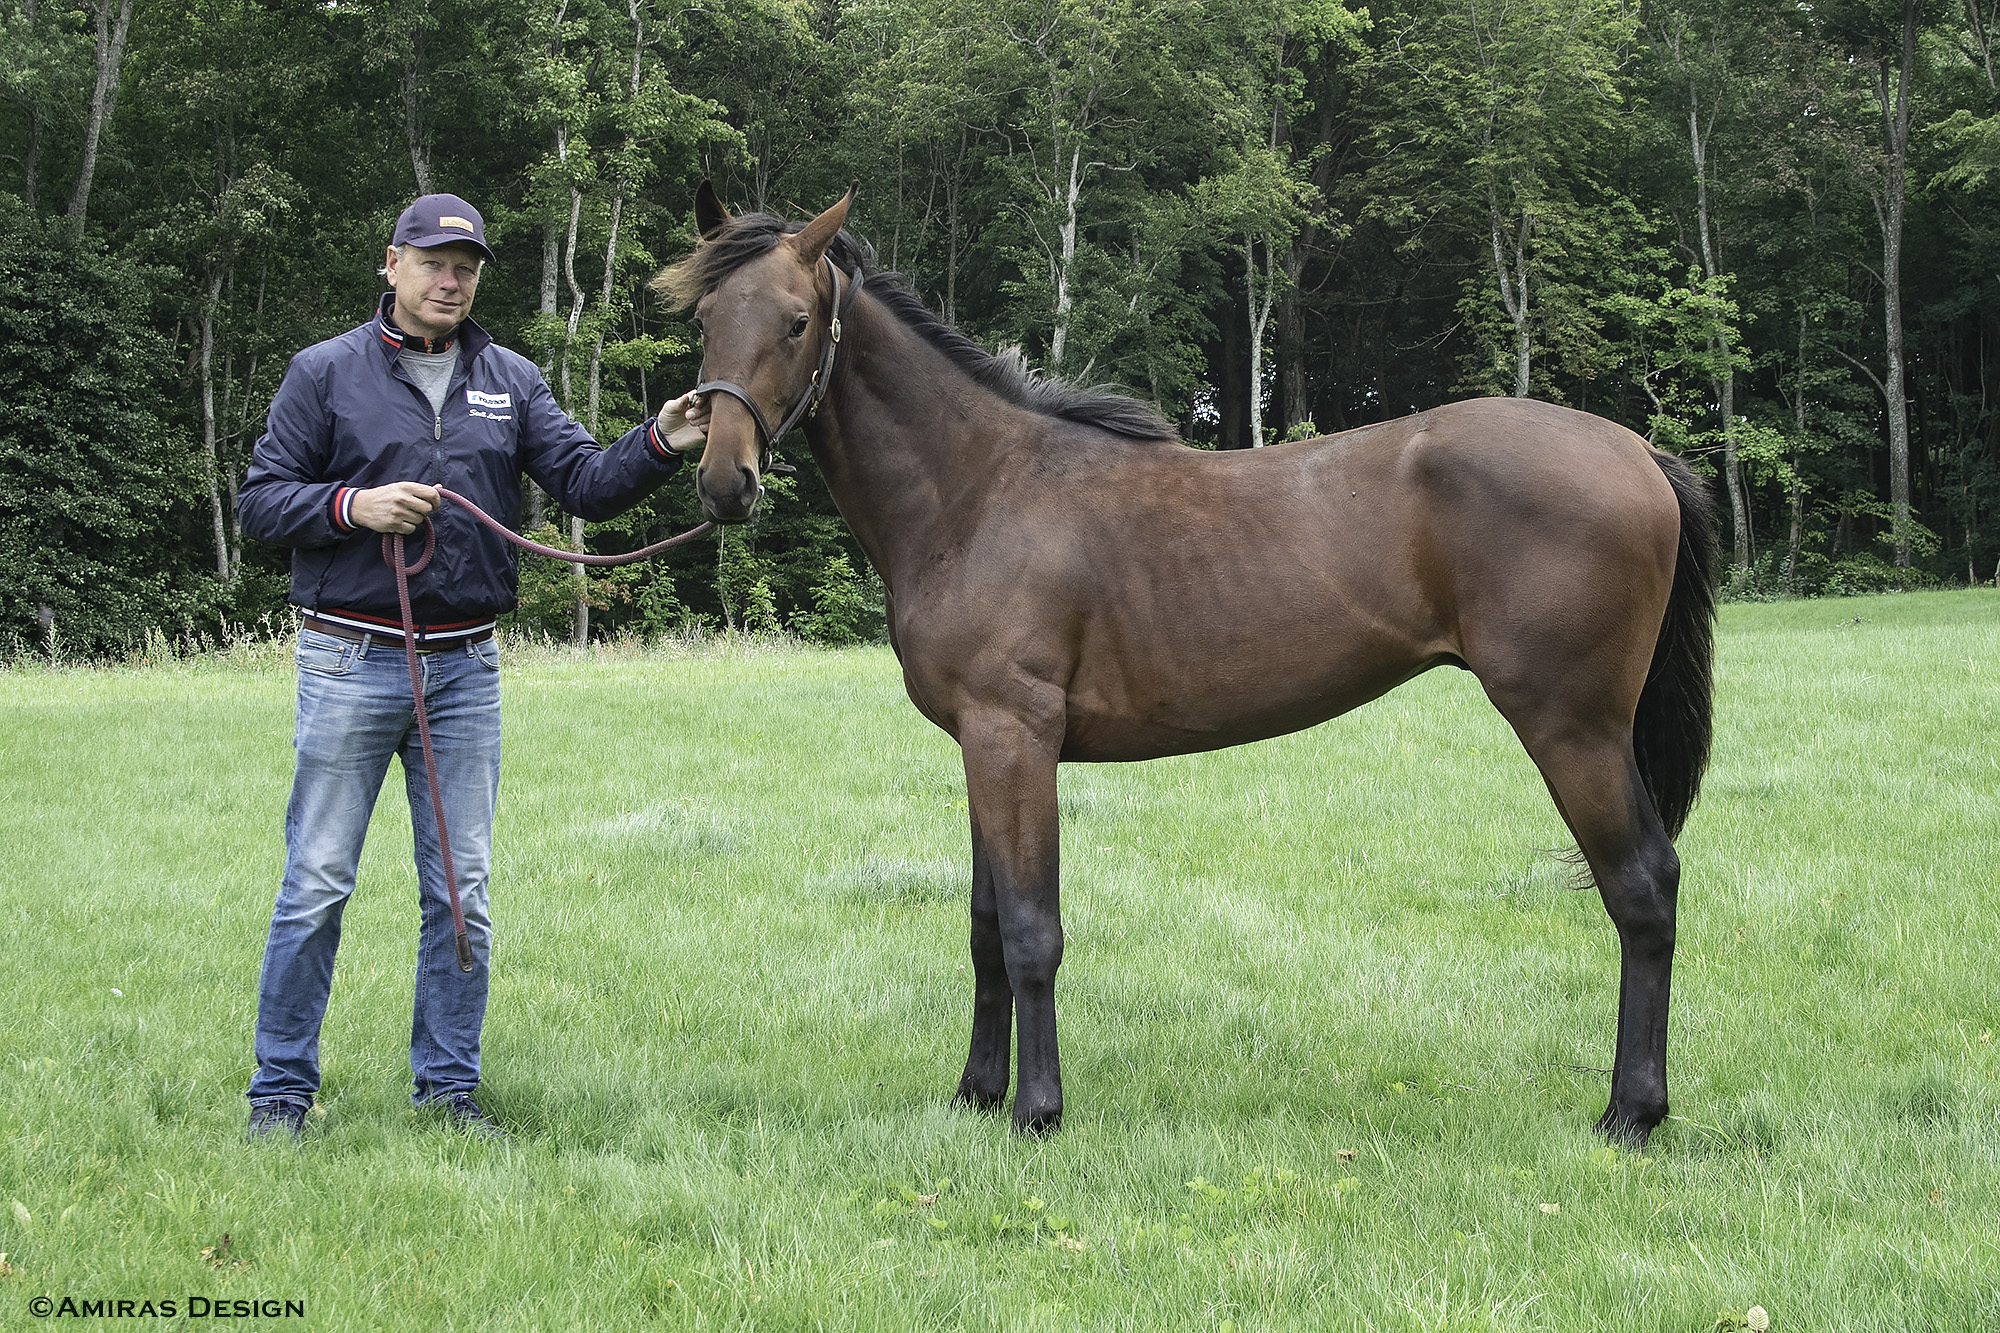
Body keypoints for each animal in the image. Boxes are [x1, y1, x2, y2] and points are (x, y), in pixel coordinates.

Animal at [656, 184, 1720, 1144]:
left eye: (798, 321)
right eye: (705, 317)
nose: (723, 480)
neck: (980, 491)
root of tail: (1640, 455)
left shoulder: (1015, 736)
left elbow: (1033, 930)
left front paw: (1036, 1111)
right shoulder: (980, 744)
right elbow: (986, 928)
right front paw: (975, 1095)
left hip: (1572, 726)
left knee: (1642, 885)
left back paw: (1632, 1112)